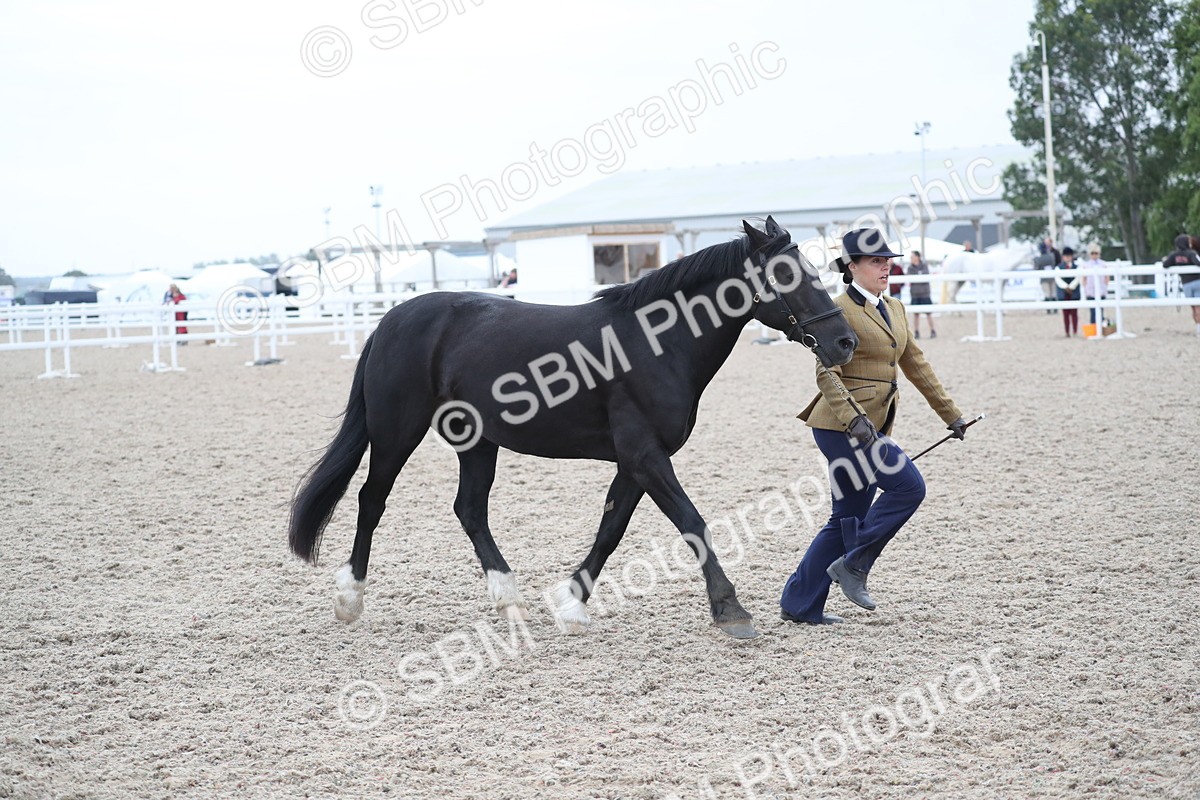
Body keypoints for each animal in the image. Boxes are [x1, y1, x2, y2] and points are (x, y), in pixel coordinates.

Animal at [287, 217, 858, 640]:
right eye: (788, 275)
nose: (845, 342)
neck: (656, 344)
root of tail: (392, 318)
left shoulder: (634, 461)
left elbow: (611, 529)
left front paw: (570, 603)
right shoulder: (645, 456)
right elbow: (693, 523)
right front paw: (730, 611)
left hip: (477, 442)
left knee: (469, 510)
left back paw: (510, 602)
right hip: (395, 433)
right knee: (371, 501)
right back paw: (349, 599)